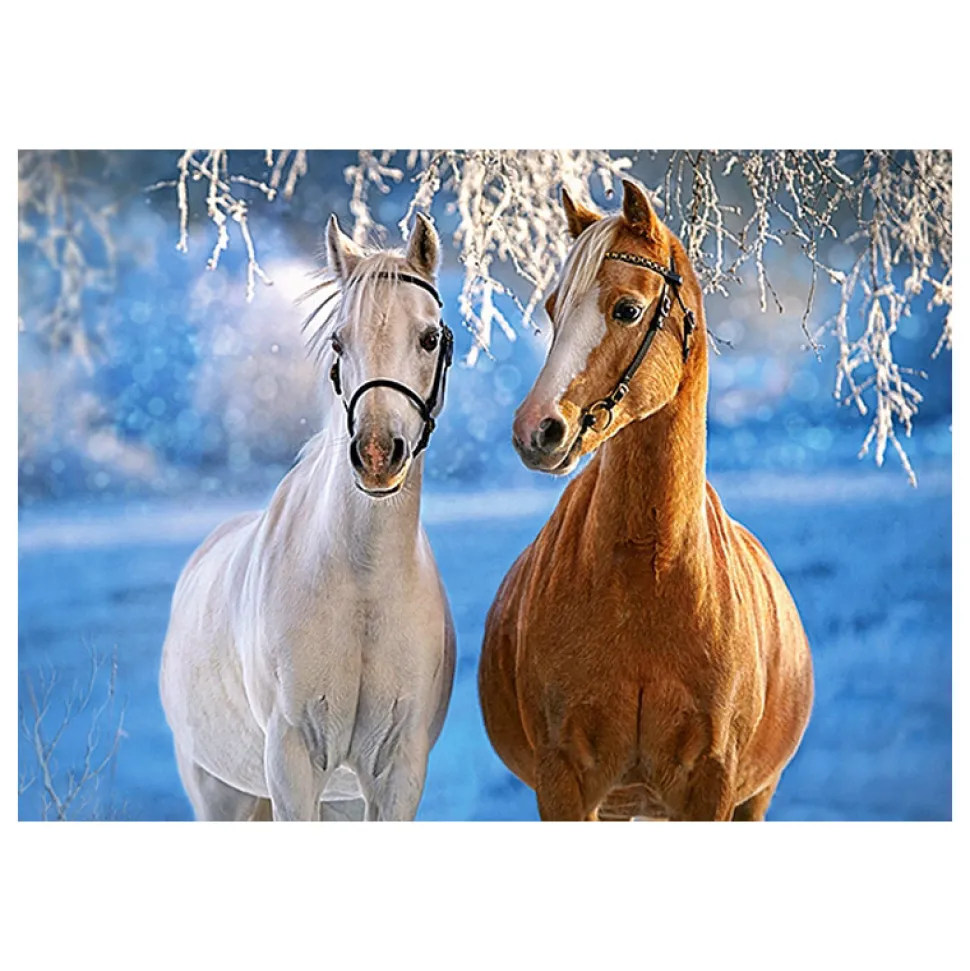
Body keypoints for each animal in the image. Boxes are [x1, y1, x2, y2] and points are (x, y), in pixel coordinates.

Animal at [160, 212, 456, 821]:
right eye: (339, 340)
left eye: (429, 337)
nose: (376, 454)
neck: (363, 586)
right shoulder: (292, 763)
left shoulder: (397, 772)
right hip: (220, 794)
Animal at [478, 179, 813, 821]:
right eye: (553, 309)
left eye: (627, 310)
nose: (537, 431)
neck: (647, 575)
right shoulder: (563, 783)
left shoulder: (712, 786)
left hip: (754, 798)